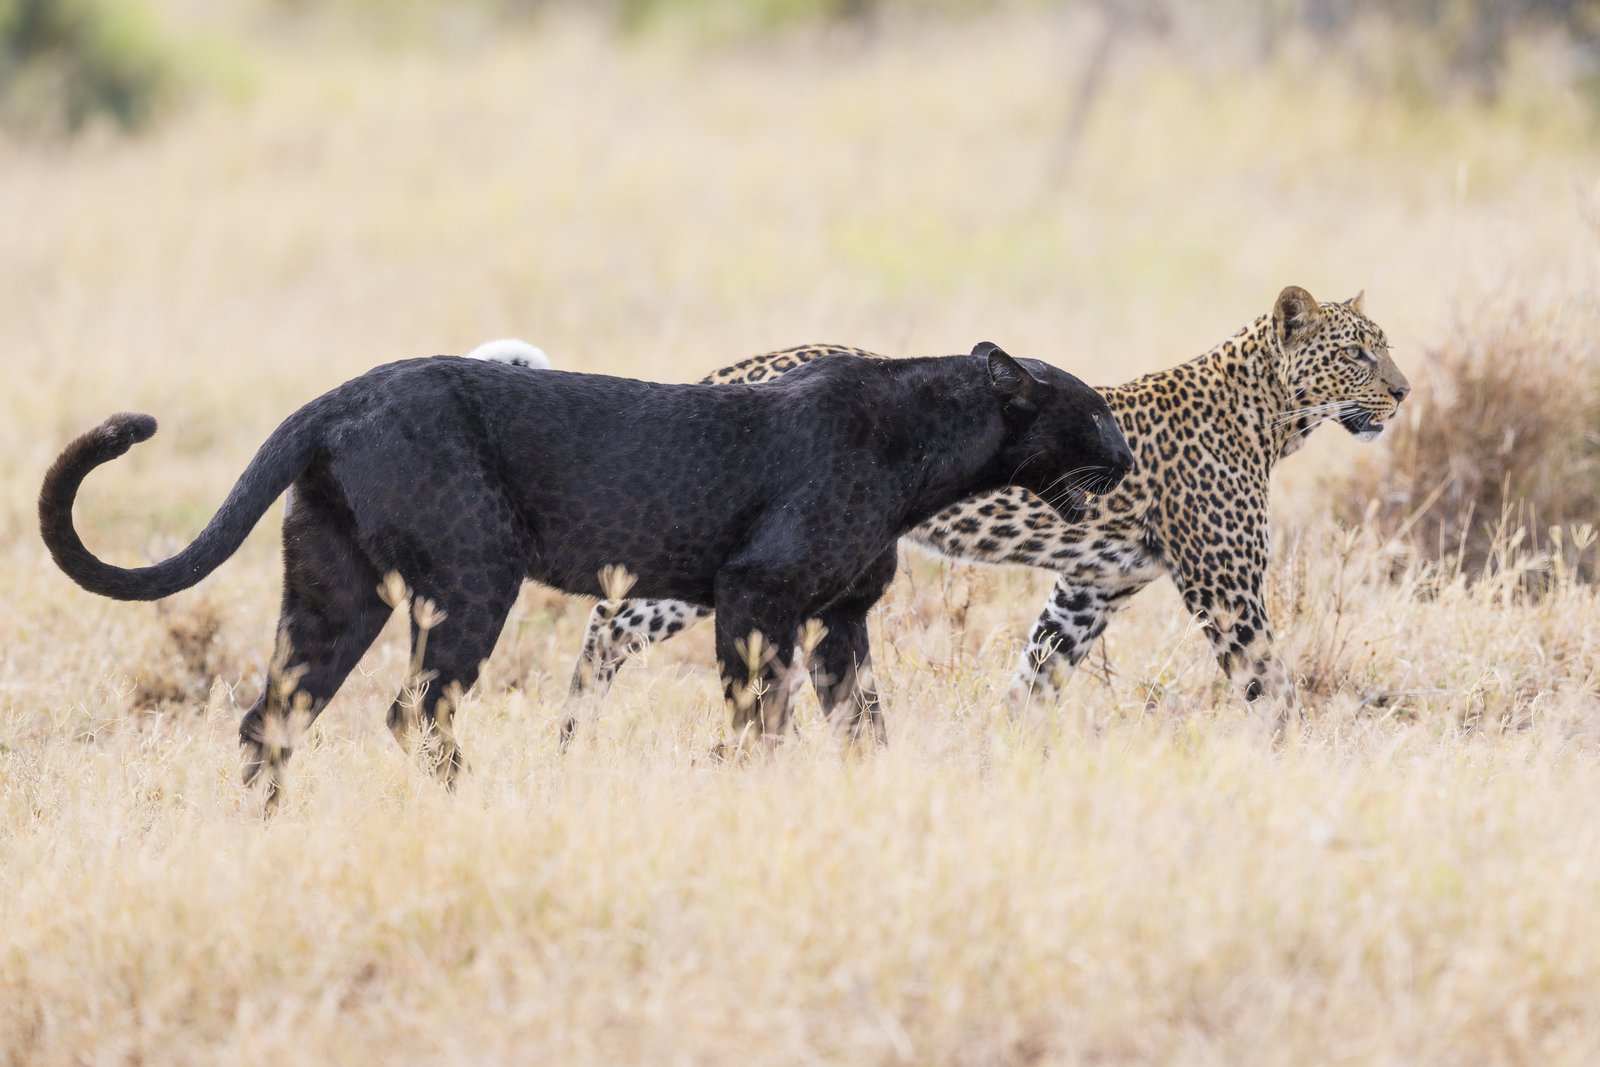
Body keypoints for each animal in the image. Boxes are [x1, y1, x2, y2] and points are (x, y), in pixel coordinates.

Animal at [553, 286, 1409, 735]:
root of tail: (734, 367)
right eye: (1357, 353)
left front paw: (998, 753)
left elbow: (1034, 678)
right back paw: (571, 733)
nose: (1403, 393)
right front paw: (1304, 764)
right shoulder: (1225, 588)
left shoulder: (1087, 591)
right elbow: (1274, 688)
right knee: (605, 623)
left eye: (1385, 347)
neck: (1274, 420)